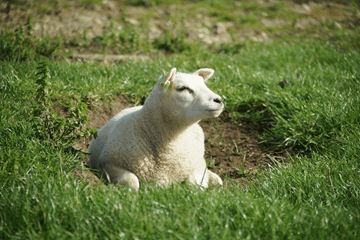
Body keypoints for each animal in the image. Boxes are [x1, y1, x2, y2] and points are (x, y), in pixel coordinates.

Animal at [88, 67, 224, 189]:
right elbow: (133, 181)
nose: (219, 100)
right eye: (182, 88)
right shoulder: (108, 165)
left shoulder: (197, 166)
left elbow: (194, 185)